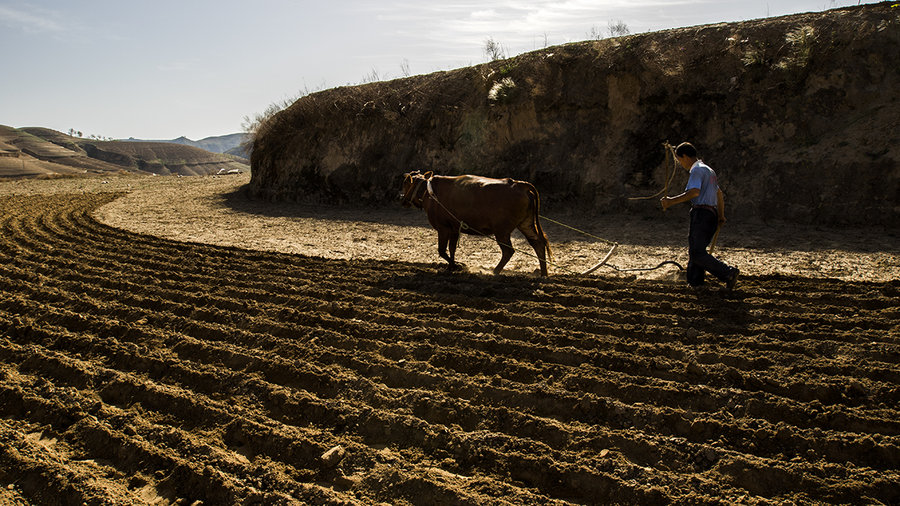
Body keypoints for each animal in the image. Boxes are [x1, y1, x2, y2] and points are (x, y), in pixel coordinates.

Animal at [400, 173, 548, 276]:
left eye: (405, 184)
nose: (402, 200)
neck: (429, 193)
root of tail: (519, 184)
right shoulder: (454, 229)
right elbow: (452, 249)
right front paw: (452, 267)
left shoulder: (443, 229)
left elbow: (442, 250)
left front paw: (456, 266)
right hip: (526, 224)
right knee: (538, 244)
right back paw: (544, 274)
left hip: (502, 231)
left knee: (508, 251)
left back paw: (494, 271)